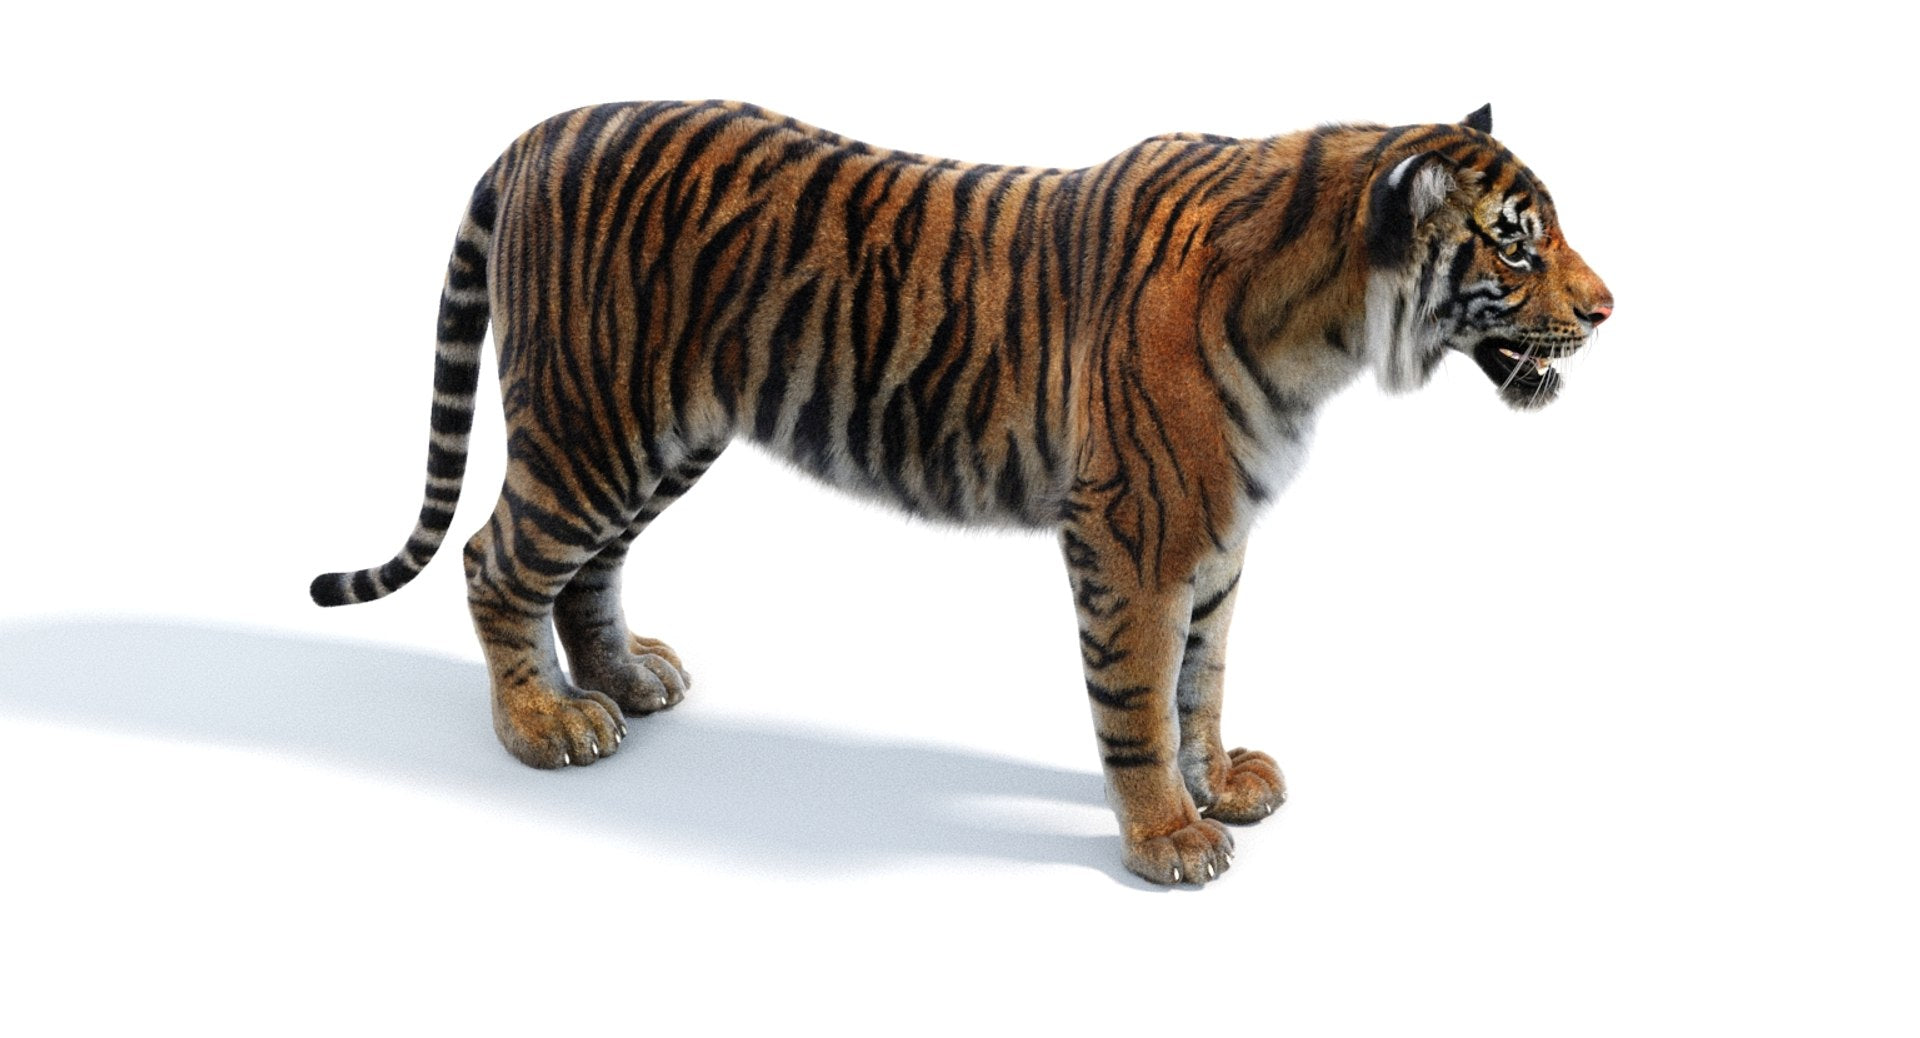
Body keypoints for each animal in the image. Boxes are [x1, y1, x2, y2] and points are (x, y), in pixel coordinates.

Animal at [311, 100, 1612, 886]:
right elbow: (1139, 701)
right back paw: (543, 727)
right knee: (496, 560)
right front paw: (1166, 837)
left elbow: (1203, 683)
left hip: (661, 436)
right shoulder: (1134, 537)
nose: (1608, 309)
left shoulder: (1221, 539)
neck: (1328, 336)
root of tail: (542, 129)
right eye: (1516, 243)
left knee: (591, 567)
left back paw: (625, 680)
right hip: (594, 426)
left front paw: (1224, 785)